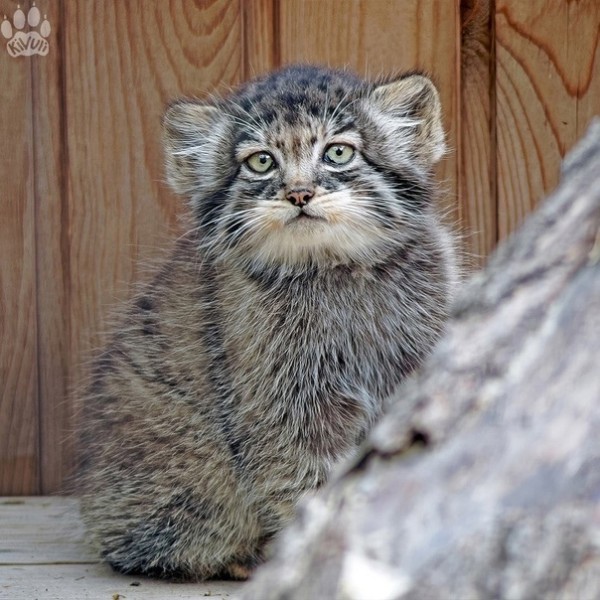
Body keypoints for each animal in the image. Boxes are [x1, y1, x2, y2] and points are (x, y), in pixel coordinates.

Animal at [77, 63, 458, 580]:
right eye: (261, 162)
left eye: (338, 152)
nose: (298, 194)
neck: (332, 270)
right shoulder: (282, 405)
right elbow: (303, 478)